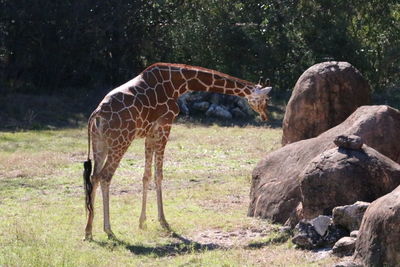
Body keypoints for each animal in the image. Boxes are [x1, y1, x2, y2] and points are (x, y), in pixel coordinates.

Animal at [84, 62, 272, 241]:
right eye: (265, 99)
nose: (265, 116)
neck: (179, 83)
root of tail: (97, 115)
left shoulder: (150, 132)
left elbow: (146, 176)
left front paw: (142, 223)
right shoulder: (165, 125)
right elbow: (158, 175)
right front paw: (163, 222)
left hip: (100, 144)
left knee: (94, 177)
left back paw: (88, 231)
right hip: (121, 141)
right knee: (105, 177)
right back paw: (109, 230)